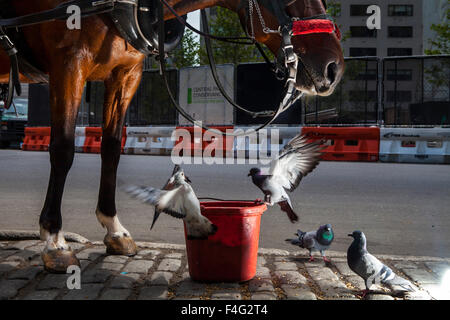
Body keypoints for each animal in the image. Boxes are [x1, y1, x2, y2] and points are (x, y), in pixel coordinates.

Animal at [0, 0, 344, 272]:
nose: (334, 68)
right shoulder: (68, 64)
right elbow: (63, 149)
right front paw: (55, 241)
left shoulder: (126, 73)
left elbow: (111, 149)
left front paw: (114, 228)